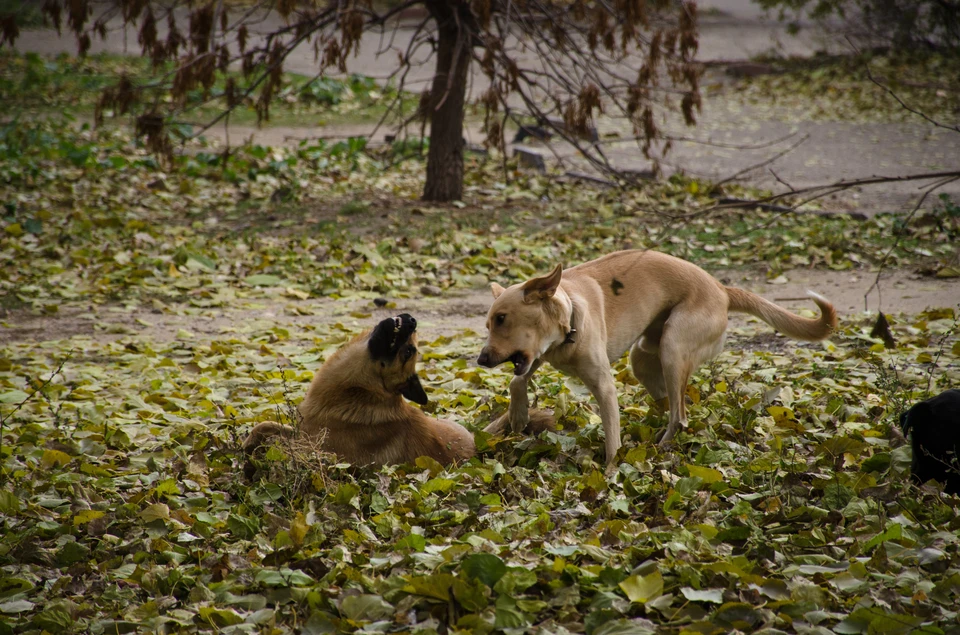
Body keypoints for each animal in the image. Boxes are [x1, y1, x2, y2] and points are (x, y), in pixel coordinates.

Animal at [244, 314, 476, 468]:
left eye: (409, 351)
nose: (412, 320)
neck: (358, 392)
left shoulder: (318, 448)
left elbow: (285, 444)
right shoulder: (303, 430)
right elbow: (266, 425)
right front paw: (247, 444)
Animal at [476, 251, 836, 464]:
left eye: (502, 319)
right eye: (489, 323)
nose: (481, 360)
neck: (569, 313)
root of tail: (721, 289)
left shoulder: (603, 385)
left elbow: (612, 441)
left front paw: (611, 473)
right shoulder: (536, 356)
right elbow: (517, 380)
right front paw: (519, 415)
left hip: (673, 348)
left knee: (680, 415)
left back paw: (661, 447)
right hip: (645, 358)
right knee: (674, 404)